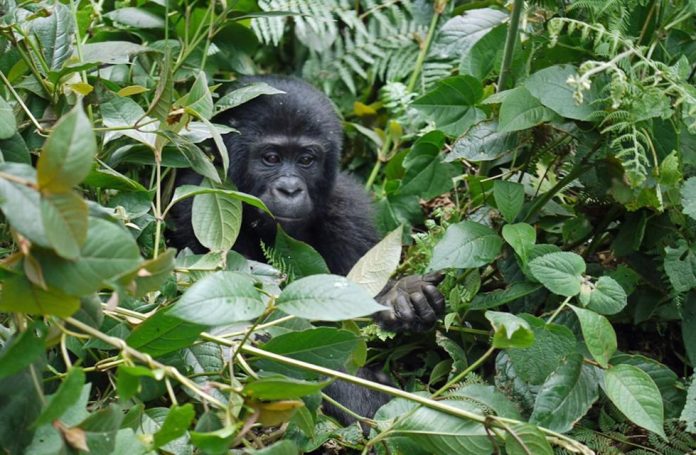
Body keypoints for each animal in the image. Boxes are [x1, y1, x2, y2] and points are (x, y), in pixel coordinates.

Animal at [166, 75, 444, 428]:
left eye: (306, 160)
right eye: (271, 158)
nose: (290, 189)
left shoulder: (348, 208)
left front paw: (400, 296)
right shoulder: (197, 203)